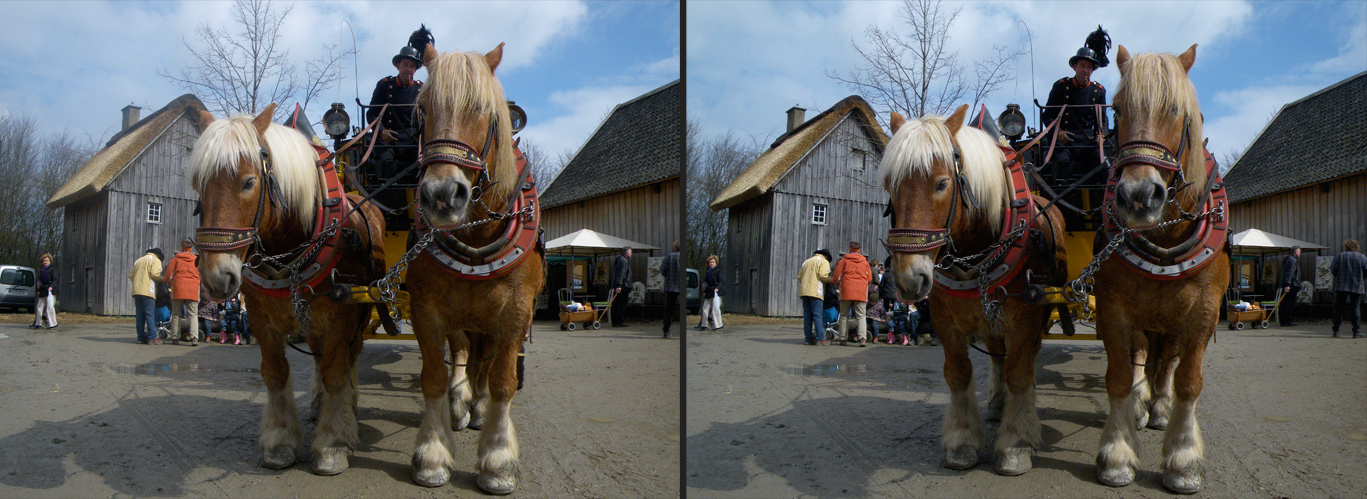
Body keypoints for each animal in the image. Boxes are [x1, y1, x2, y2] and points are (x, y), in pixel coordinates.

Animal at [187, 105, 385, 473]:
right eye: (197, 184)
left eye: (249, 182)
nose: (216, 278)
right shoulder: (262, 320)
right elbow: (276, 374)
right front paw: (280, 440)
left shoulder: (342, 317)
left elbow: (336, 373)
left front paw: (333, 442)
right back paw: (320, 403)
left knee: (348, 358)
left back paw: (347, 406)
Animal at [399, 42, 544, 494]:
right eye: (423, 109)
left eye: (482, 109)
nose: (442, 195)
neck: (478, 239)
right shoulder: (426, 308)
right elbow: (433, 375)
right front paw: (432, 453)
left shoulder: (516, 310)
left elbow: (502, 380)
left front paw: (497, 458)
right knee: (465, 354)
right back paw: (462, 404)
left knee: (486, 362)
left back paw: (477, 408)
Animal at [885, 105, 1066, 473]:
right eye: (889, 186)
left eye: (942, 183)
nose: (909, 279)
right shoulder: (946, 323)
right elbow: (958, 375)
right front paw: (962, 440)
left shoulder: (1026, 320)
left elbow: (1019, 373)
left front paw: (1016, 443)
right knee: (997, 357)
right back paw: (997, 403)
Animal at [1093, 43, 1235, 494]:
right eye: (1117, 109)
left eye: (1175, 109)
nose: (1138, 196)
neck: (1167, 240)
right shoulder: (1113, 308)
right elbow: (1120, 375)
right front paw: (1117, 452)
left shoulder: (1203, 312)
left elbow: (1188, 381)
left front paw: (1183, 458)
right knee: (1142, 356)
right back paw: (1143, 405)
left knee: (1168, 364)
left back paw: (1158, 407)